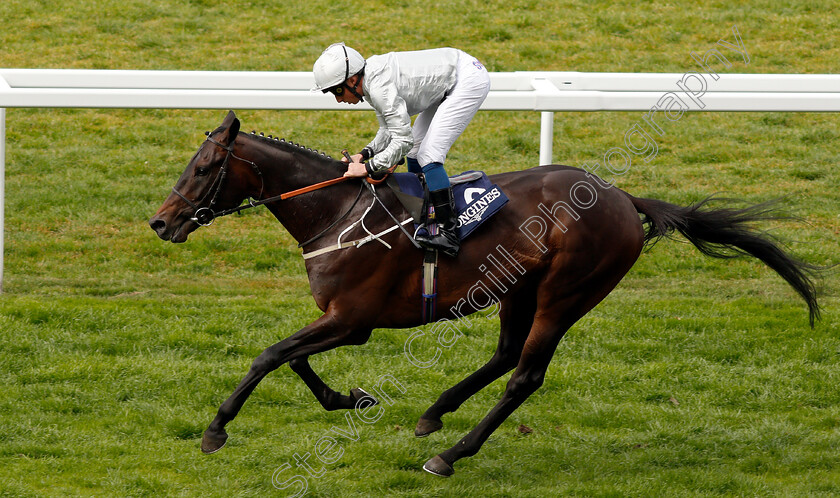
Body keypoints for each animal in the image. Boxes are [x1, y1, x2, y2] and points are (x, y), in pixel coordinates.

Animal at [148, 111, 816, 476]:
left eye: (204, 168)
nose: (160, 222)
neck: (336, 212)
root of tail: (625, 198)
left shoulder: (353, 319)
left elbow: (270, 355)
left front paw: (217, 429)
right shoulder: (341, 320)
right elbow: (295, 359)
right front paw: (351, 398)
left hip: (567, 293)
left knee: (525, 374)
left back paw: (451, 452)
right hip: (519, 287)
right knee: (504, 356)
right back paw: (433, 414)